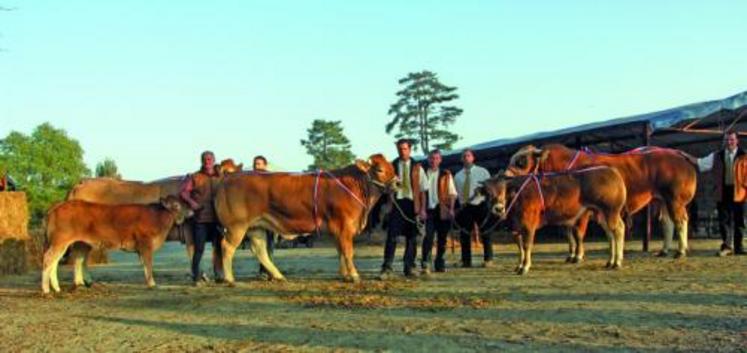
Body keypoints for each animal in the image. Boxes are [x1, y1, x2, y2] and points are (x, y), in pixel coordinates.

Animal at [41, 195, 194, 292]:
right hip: (60, 241)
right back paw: (47, 289)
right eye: (176, 205)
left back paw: (65, 287)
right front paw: (152, 284)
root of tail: (58, 206)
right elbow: (149, 265)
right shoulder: (146, 244)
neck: (158, 218)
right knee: (49, 259)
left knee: (70, 261)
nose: (192, 211)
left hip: (79, 243)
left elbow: (145, 266)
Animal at [213, 154, 400, 284]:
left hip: (255, 226)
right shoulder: (344, 226)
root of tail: (230, 176)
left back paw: (278, 276)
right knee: (227, 247)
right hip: (237, 226)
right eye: (379, 169)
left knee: (259, 250)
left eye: (392, 166)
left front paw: (345, 275)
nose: (398, 183)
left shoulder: (338, 230)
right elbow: (347, 252)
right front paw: (353, 275)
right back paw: (229, 279)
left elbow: (340, 251)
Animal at [506, 144, 700, 262]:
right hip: (662, 200)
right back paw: (664, 250)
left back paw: (680, 251)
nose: (505, 177)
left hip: (674, 200)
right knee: (668, 223)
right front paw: (572, 254)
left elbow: (577, 233)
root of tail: (677, 154)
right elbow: (569, 233)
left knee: (681, 221)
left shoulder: (582, 212)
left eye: (521, 161)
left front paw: (577, 256)